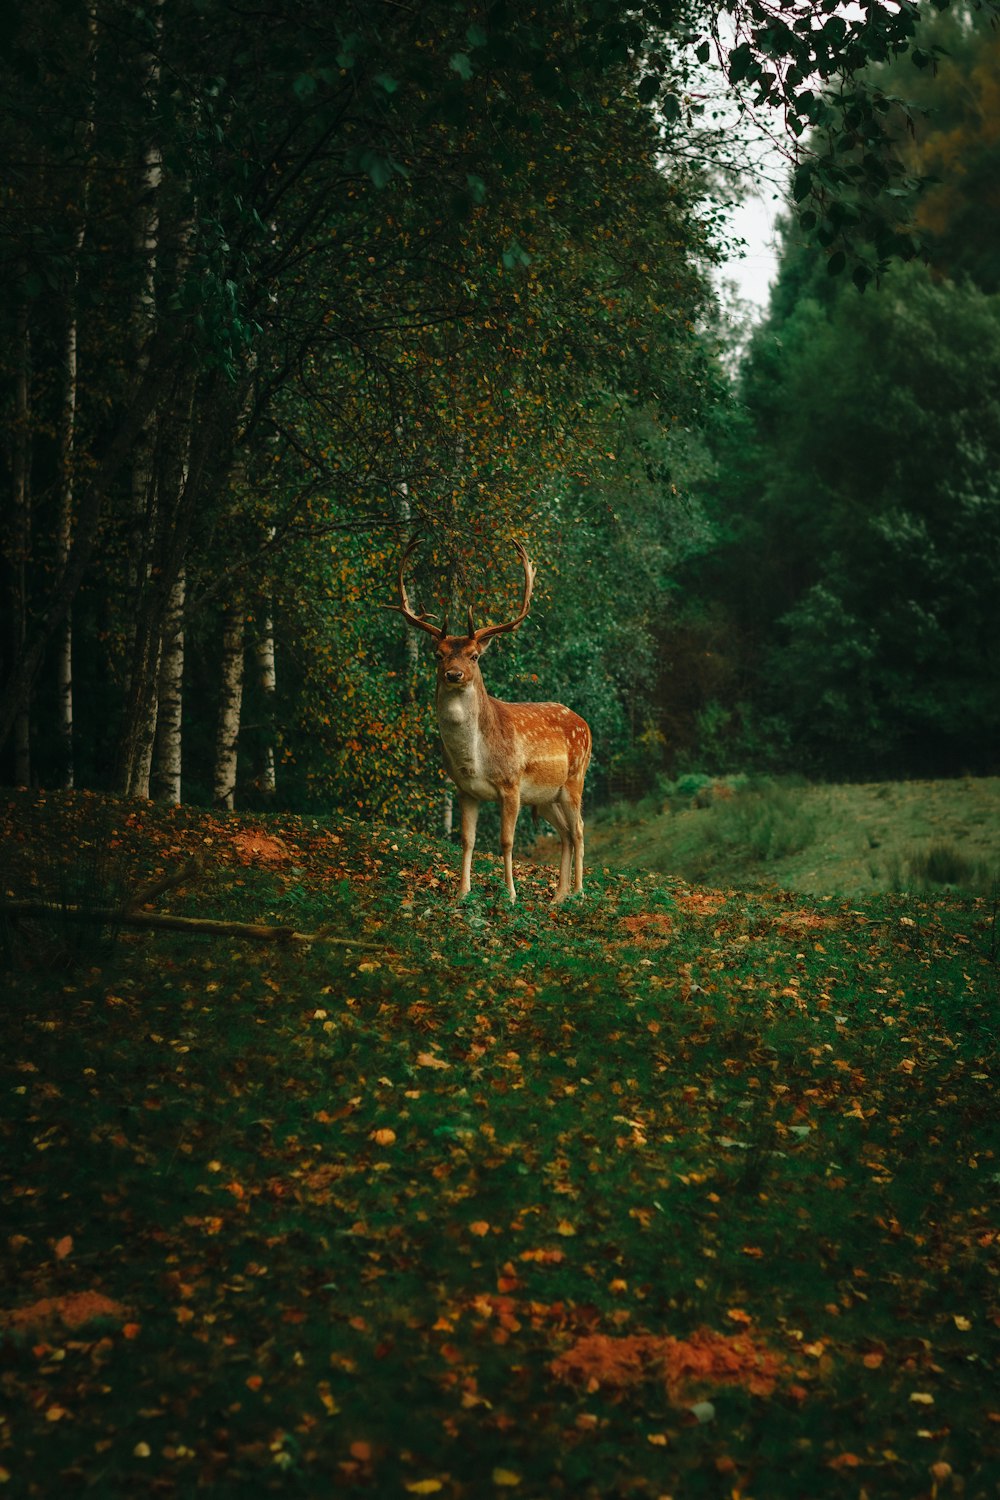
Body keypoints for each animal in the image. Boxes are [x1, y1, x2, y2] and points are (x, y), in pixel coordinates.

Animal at [389, 546, 593, 906]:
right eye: (438, 654)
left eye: (474, 656)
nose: (453, 674)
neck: (475, 761)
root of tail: (585, 723)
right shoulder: (465, 790)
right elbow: (467, 840)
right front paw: (461, 893)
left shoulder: (511, 785)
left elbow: (506, 842)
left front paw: (510, 895)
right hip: (546, 797)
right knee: (567, 833)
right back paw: (558, 896)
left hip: (574, 780)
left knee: (580, 828)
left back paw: (579, 892)